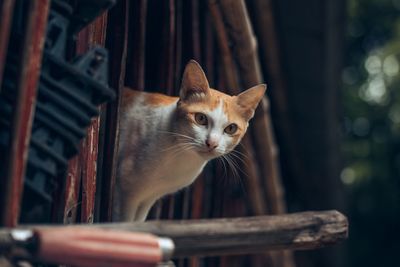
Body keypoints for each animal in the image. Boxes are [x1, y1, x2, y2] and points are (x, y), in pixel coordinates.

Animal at [113, 60, 266, 222]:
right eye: (201, 118)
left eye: (231, 128)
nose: (212, 143)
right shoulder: (124, 195)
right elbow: (124, 222)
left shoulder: (147, 199)